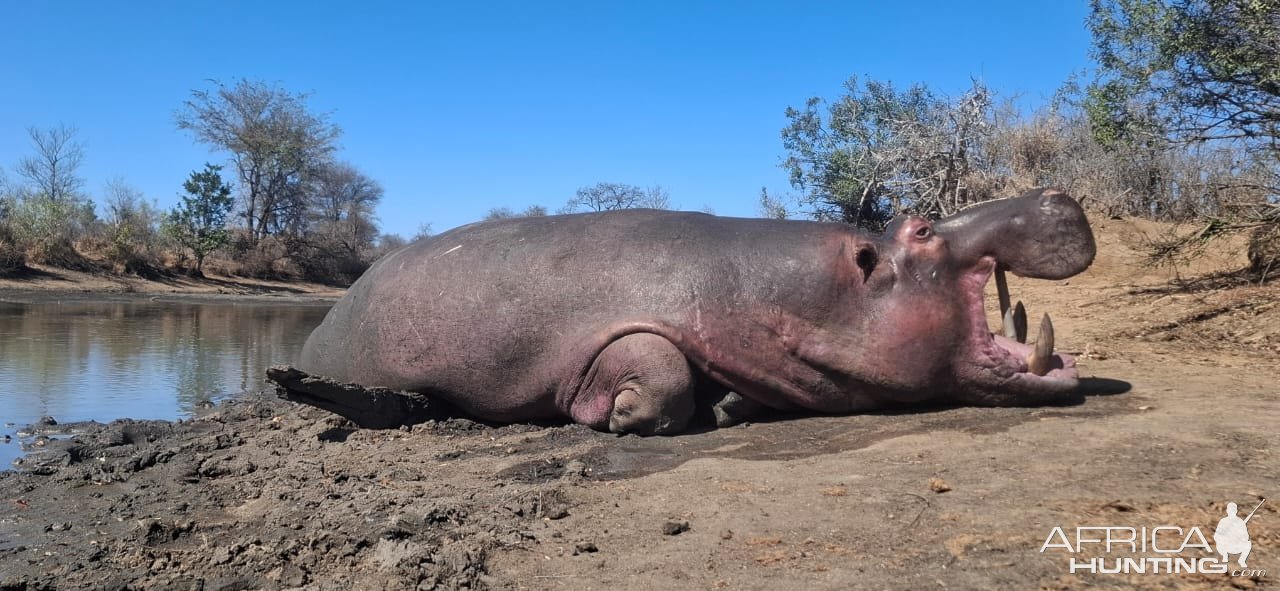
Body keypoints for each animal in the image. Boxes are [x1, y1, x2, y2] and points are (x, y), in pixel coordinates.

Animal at [270, 188, 1090, 434]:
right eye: (920, 228)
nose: (1055, 194)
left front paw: (725, 405)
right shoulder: (621, 326)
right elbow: (655, 368)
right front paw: (622, 416)